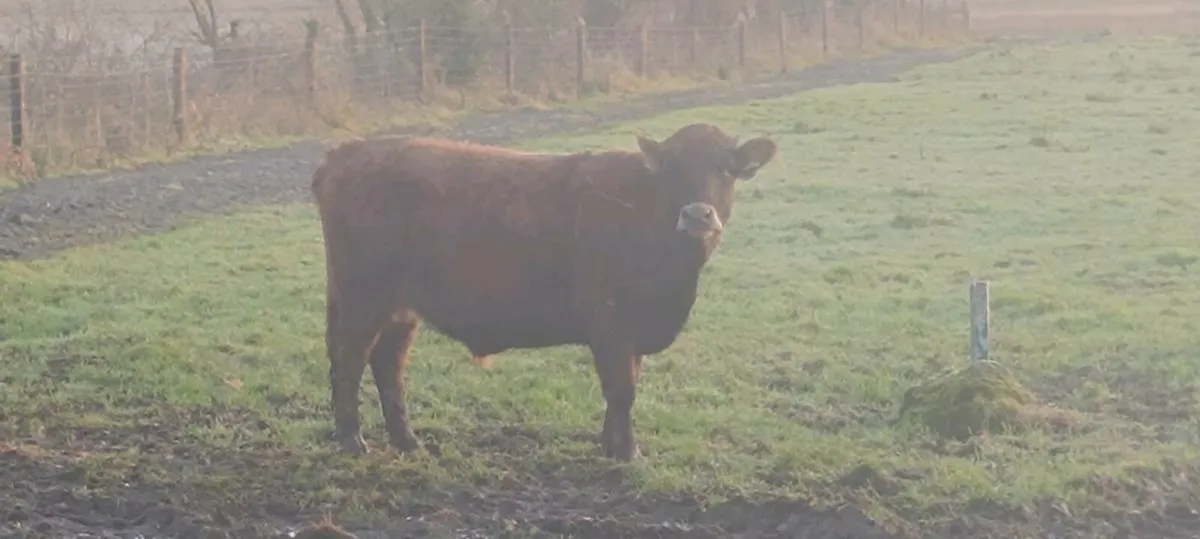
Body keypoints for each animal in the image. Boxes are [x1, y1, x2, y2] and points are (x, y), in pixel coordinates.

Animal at [310, 123, 778, 461]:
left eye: (726, 168)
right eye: (672, 169)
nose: (697, 214)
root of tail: (346, 152)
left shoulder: (632, 332)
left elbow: (624, 388)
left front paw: (610, 445)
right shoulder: (610, 323)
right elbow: (622, 389)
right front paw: (628, 454)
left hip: (400, 308)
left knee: (387, 365)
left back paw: (407, 440)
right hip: (361, 298)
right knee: (348, 361)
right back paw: (352, 442)